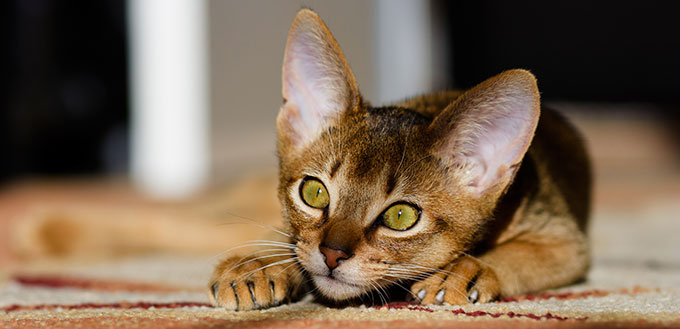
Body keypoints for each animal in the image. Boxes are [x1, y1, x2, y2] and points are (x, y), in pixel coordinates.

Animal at [209, 8, 588, 310]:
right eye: (314, 193)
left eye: (401, 216)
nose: (332, 254)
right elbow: (289, 238)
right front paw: (259, 263)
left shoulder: (566, 245)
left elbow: (516, 255)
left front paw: (461, 273)